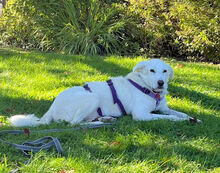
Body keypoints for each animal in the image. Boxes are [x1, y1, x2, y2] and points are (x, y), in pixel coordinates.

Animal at [9, 58, 199, 126]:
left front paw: (192, 118)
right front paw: (180, 120)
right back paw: (101, 123)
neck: (146, 86)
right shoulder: (142, 115)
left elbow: (179, 112)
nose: (161, 83)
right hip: (91, 97)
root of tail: (52, 108)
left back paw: (106, 118)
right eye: (152, 70)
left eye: (165, 71)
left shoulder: (163, 108)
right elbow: (168, 118)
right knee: (74, 123)